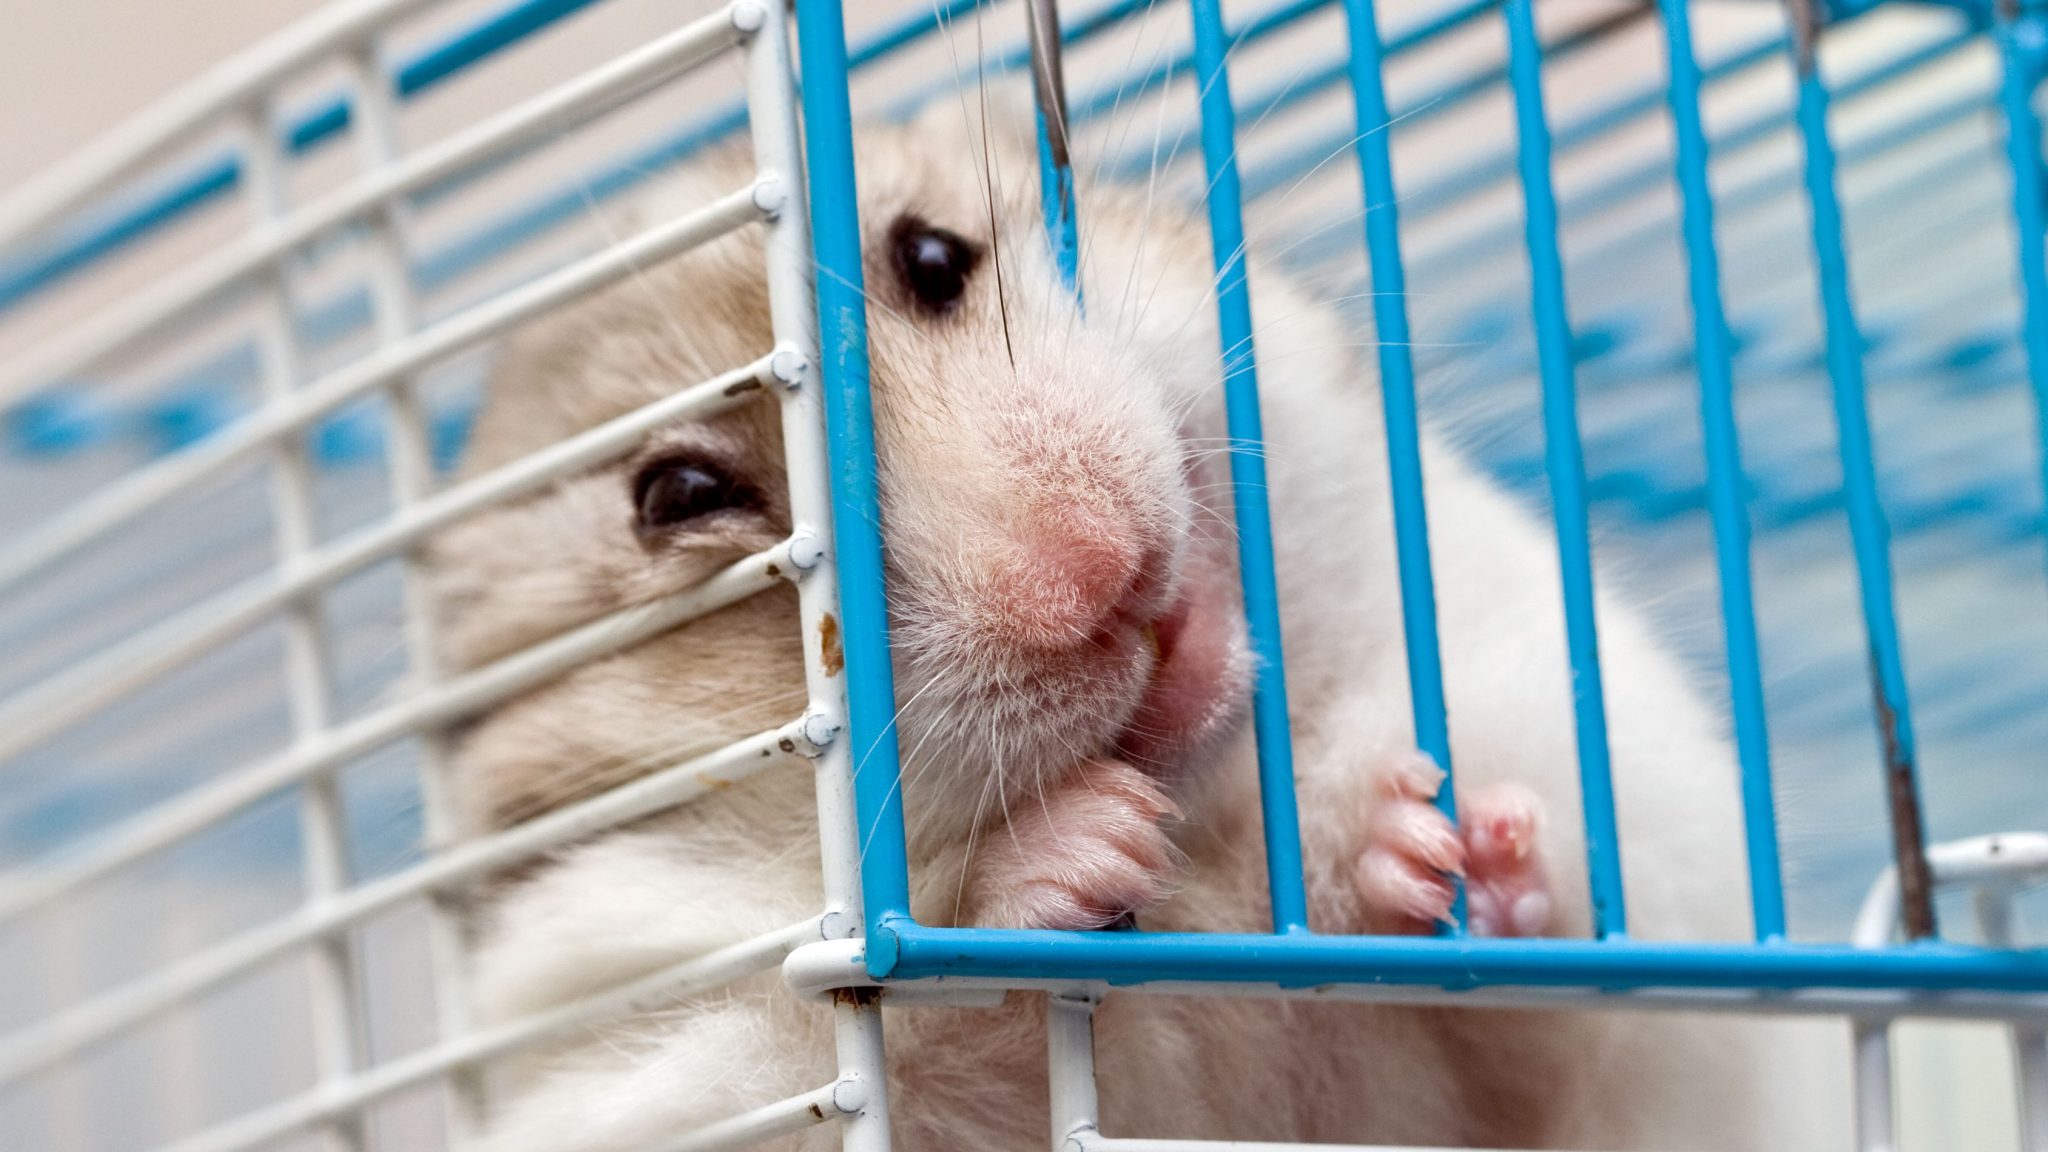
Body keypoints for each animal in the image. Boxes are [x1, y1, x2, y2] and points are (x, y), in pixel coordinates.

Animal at [429, 100, 1847, 1151]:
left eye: (934, 258)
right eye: (679, 496)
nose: (1097, 575)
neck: (1207, 825)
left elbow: (1558, 981)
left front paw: (1427, 840)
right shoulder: (635, 1047)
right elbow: (915, 1016)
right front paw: (1093, 845)